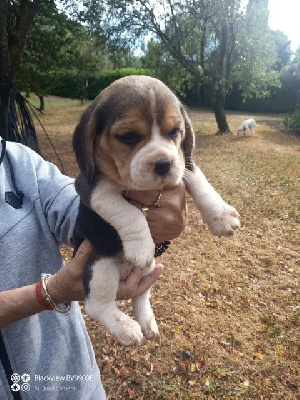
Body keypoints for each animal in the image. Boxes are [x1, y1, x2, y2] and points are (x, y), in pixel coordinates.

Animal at [72, 76, 239, 346]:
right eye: (128, 136)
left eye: (174, 132)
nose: (164, 163)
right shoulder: (91, 188)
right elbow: (128, 211)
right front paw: (141, 247)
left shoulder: (184, 162)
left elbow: (199, 181)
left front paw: (222, 217)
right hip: (99, 264)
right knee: (98, 306)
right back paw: (127, 328)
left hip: (149, 270)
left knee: (140, 296)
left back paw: (147, 322)